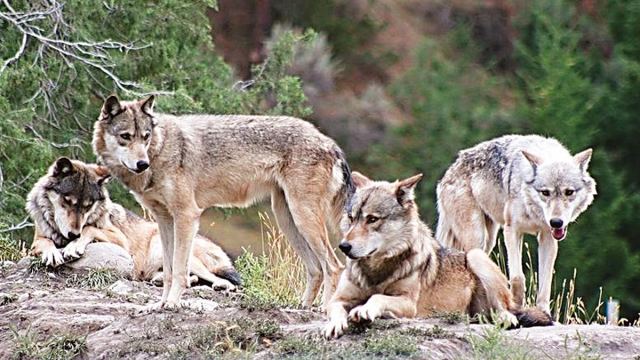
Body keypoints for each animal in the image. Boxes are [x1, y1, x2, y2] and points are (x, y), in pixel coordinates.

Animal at [24, 158, 240, 290]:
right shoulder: (37, 241)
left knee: (221, 280)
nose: (72, 235)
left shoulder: (119, 239)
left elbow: (89, 227)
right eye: (67, 201)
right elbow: (46, 243)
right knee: (186, 278)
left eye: (88, 206)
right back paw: (160, 280)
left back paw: (221, 285)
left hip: (166, 248)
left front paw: (73, 247)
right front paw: (53, 253)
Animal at [322, 172, 552, 338]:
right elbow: (335, 309)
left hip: (476, 255)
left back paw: (506, 318)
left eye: (372, 219)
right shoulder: (338, 299)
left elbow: (377, 297)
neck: (376, 271)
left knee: (508, 311)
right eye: (351, 218)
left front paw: (364, 311)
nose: (344, 246)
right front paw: (334, 325)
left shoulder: (408, 304)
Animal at [436, 135, 596, 312]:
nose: (556, 222)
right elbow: (517, 277)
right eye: (545, 192)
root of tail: (449, 171)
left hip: (489, 240)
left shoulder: (547, 237)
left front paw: (543, 312)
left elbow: (545, 283)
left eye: (569, 192)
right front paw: (517, 307)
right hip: (477, 237)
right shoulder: (512, 230)